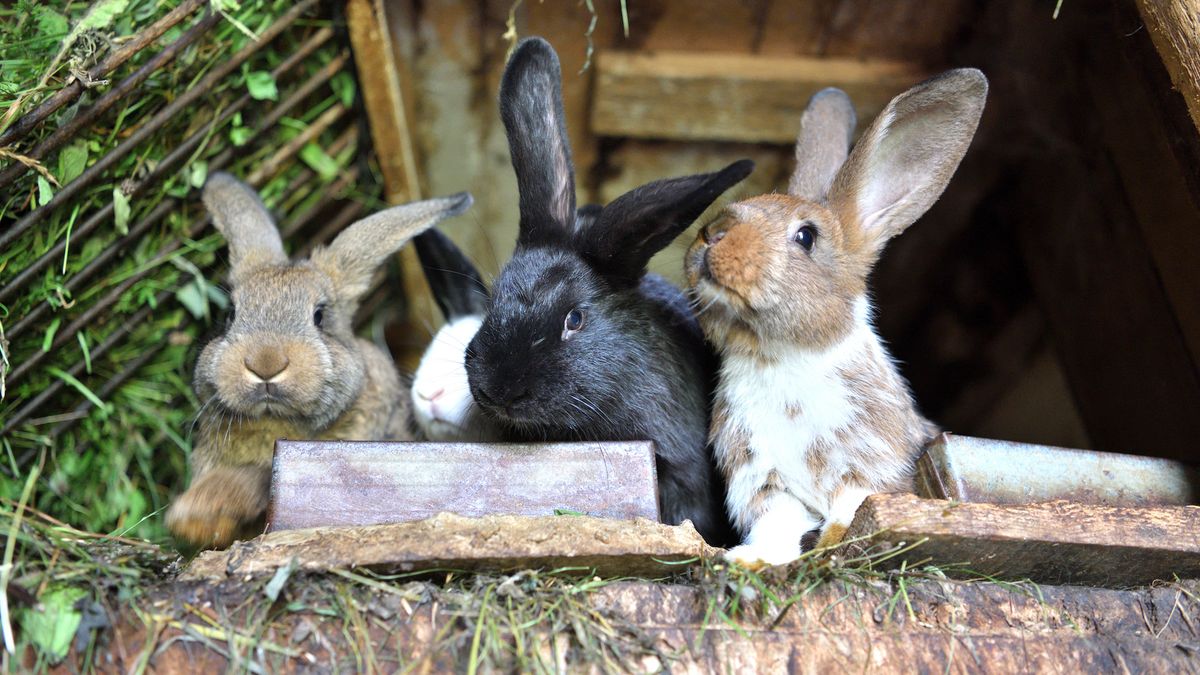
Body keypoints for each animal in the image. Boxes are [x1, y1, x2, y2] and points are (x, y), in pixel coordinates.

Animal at [168, 172, 472, 547]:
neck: (276, 422)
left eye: (319, 316)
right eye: (230, 315)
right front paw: (192, 520)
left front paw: (196, 512)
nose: (265, 363)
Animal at [686, 69, 984, 562]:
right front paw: (750, 560)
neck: (777, 357)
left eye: (806, 236)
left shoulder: (870, 460)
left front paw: (830, 543)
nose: (714, 232)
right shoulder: (761, 477)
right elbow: (777, 523)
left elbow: (853, 503)